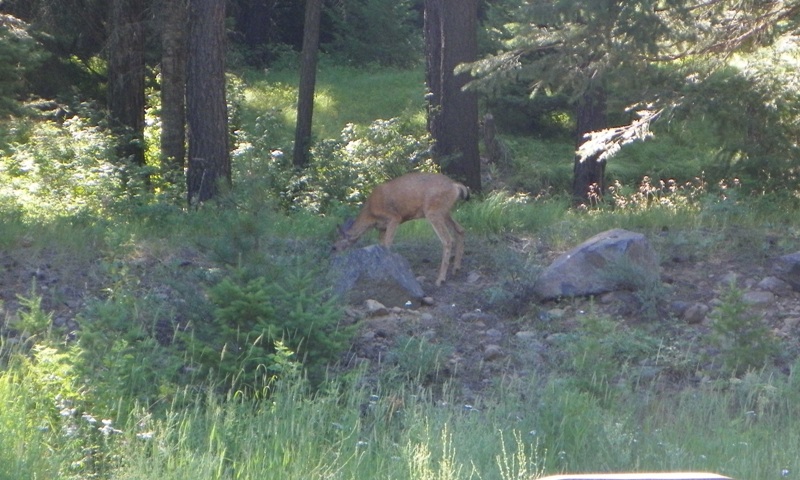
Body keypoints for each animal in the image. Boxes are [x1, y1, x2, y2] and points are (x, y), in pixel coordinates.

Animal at [332, 172, 468, 284]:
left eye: (334, 247)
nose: (334, 256)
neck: (370, 215)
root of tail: (455, 185)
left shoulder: (394, 217)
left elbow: (387, 245)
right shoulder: (382, 228)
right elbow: (381, 245)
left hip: (433, 210)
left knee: (447, 240)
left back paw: (440, 279)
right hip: (445, 212)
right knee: (460, 230)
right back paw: (456, 268)